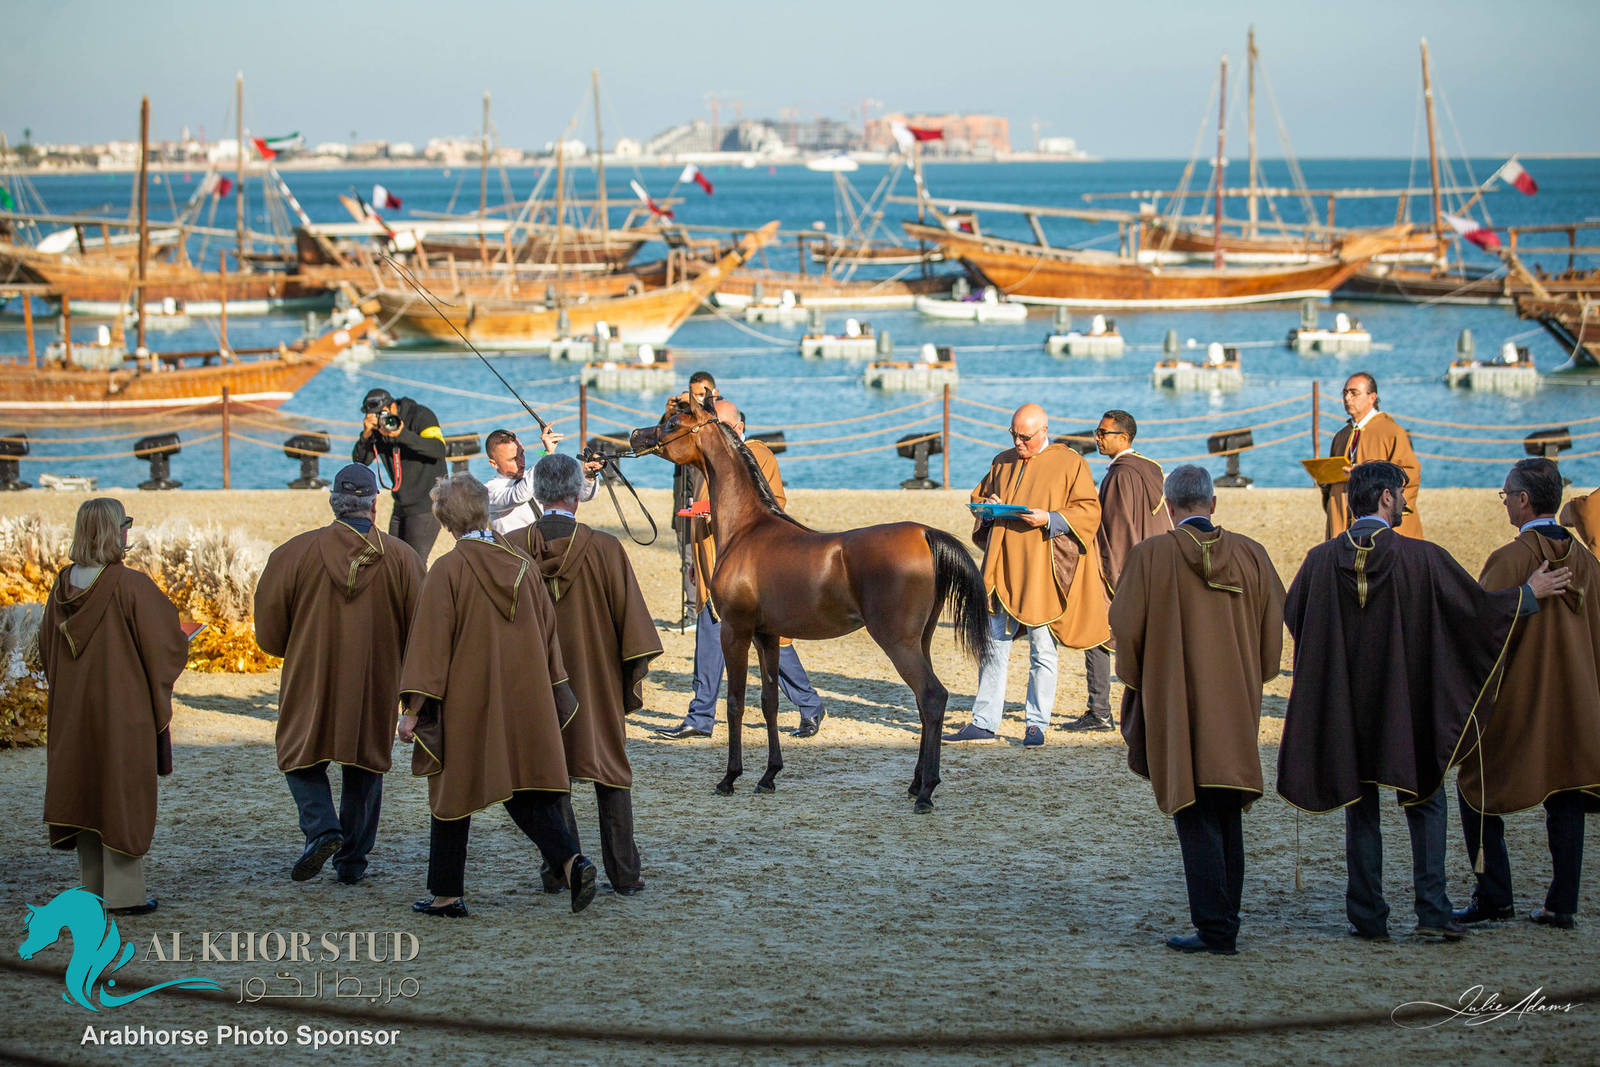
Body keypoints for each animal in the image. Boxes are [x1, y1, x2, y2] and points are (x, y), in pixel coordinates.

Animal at [630, 392, 991, 811]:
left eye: (673, 422)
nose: (635, 435)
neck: (747, 529)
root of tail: (925, 533)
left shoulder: (735, 630)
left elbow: (734, 702)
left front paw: (729, 778)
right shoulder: (767, 636)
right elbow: (769, 700)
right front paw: (768, 776)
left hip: (897, 642)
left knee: (932, 697)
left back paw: (927, 791)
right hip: (921, 640)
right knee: (923, 701)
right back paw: (916, 784)